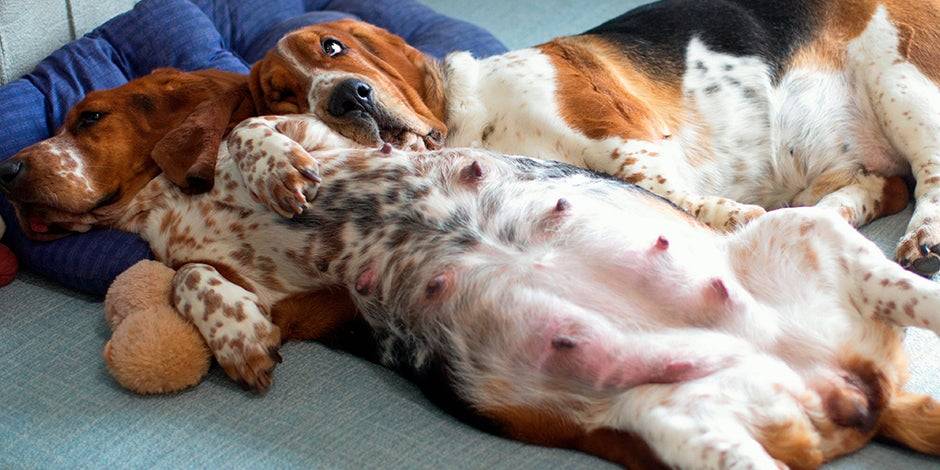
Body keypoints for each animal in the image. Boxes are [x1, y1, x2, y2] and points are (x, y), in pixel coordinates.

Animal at [248, 0, 940, 276]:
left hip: (900, 81)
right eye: (282, 95)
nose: (345, 97)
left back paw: (923, 240)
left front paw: (731, 215)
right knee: (879, 186)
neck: (474, 117)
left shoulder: (620, 133)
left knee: (927, 177)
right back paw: (819, 218)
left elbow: (666, 190)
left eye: (333, 48)